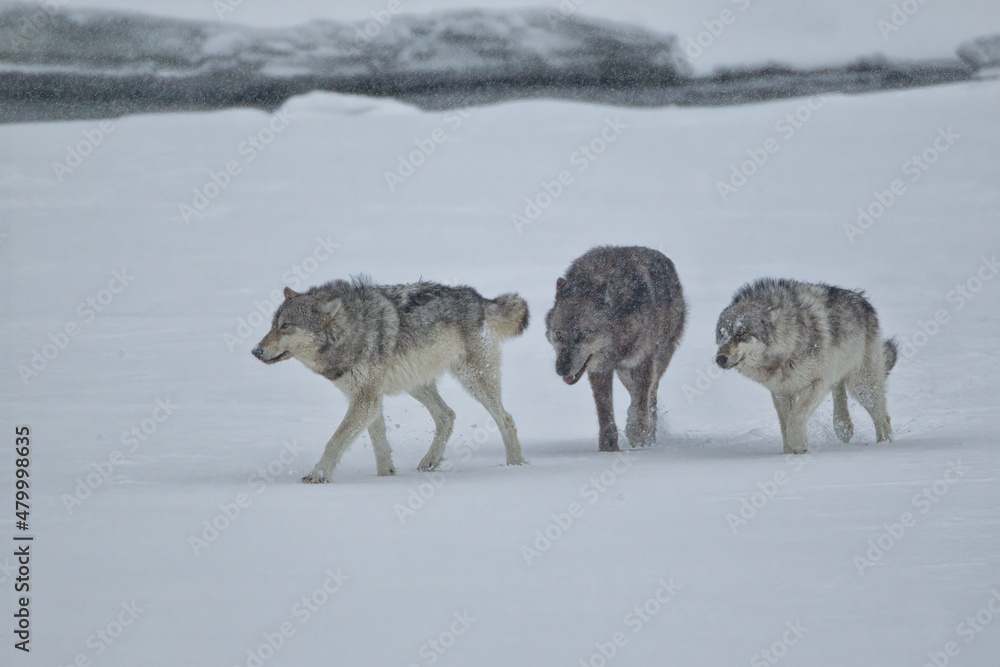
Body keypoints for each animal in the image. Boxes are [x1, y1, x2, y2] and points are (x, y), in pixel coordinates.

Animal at [252, 278, 529, 483]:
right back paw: (430, 461)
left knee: (506, 419)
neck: (349, 332)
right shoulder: (368, 398)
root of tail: (478, 298)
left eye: (286, 326)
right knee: (447, 415)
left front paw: (317, 476)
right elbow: (380, 445)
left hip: (473, 380)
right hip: (415, 383)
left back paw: (515, 466)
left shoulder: (366, 399)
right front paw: (386, 478)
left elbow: (335, 440)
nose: (256, 351)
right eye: (272, 325)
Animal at [545, 246, 687, 452]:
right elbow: (605, 412)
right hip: (624, 374)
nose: (561, 369)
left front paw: (637, 433)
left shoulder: (642, 360)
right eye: (559, 335)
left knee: (650, 396)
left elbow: (641, 401)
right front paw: (609, 449)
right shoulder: (599, 369)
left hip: (657, 360)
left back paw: (649, 436)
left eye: (582, 335)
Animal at [715, 278, 898, 454]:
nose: (720, 359)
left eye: (740, 333)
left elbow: (795, 418)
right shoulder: (780, 391)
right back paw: (844, 427)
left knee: (883, 419)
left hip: (862, 385)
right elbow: (784, 425)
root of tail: (864, 300)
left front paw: (799, 445)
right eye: (722, 335)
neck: (788, 345)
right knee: (840, 391)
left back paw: (883, 446)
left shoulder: (817, 383)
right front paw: (788, 453)